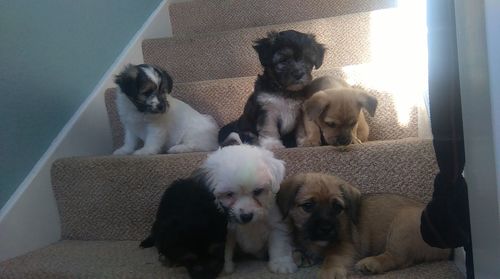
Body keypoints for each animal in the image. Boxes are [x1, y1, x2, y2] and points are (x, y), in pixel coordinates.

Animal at [197, 145, 296, 274]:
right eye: (229, 194)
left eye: (258, 191)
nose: (246, 216)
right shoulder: (228, 230)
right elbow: (228, 249)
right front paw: (228, 267)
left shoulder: (276, 224)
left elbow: (279, 244)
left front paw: (281, 263)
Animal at [276, 174, 452, 278]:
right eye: (308, 206)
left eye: (337, 208)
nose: (326, 229)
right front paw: (301, 255)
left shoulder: (346, 245)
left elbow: (332, 256)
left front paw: (329, 271)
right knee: (408, 260)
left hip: (402, 224)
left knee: (398, 257)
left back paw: (371, 264)